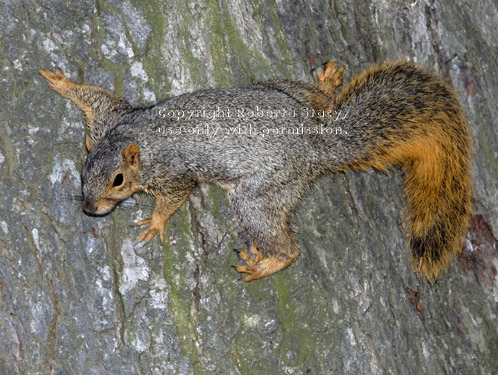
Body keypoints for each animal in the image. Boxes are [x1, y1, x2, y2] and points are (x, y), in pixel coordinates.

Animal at [40, 59, 470, 282]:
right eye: (83, 172)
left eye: (118, 181)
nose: (89, 210)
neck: (136, 139)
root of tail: (314, 145)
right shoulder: (110, 119)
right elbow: (96, 96)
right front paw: (60, 81)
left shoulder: (173, 172)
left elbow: (175, 197)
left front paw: (155, 222)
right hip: (283, 90)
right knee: (317, 98)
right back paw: (326, 86)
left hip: (261, 194)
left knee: (285, 243)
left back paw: (268, 263)